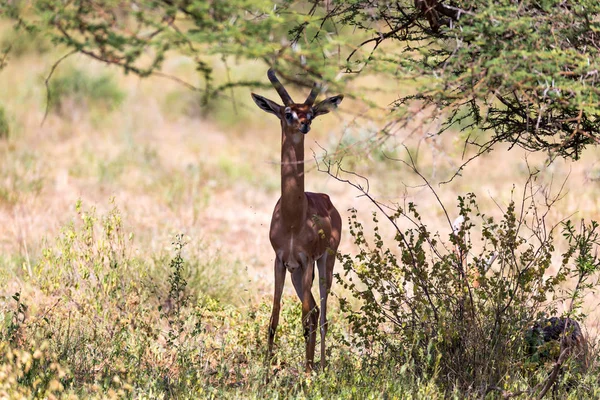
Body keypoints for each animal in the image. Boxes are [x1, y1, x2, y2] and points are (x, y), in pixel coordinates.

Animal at [250, 69, 342, 372]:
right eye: (288, 112)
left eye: (310, 113)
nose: (304, 125)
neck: (293, 218)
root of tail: (327, 200)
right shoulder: (281, 261)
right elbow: (274, 318)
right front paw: (267, 373)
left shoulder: (307, 259)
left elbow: (305, 320)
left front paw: (308, 374)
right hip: (297, 274)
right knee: (314, 310)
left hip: (324, 264)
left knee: (321, 316)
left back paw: (320, 367)